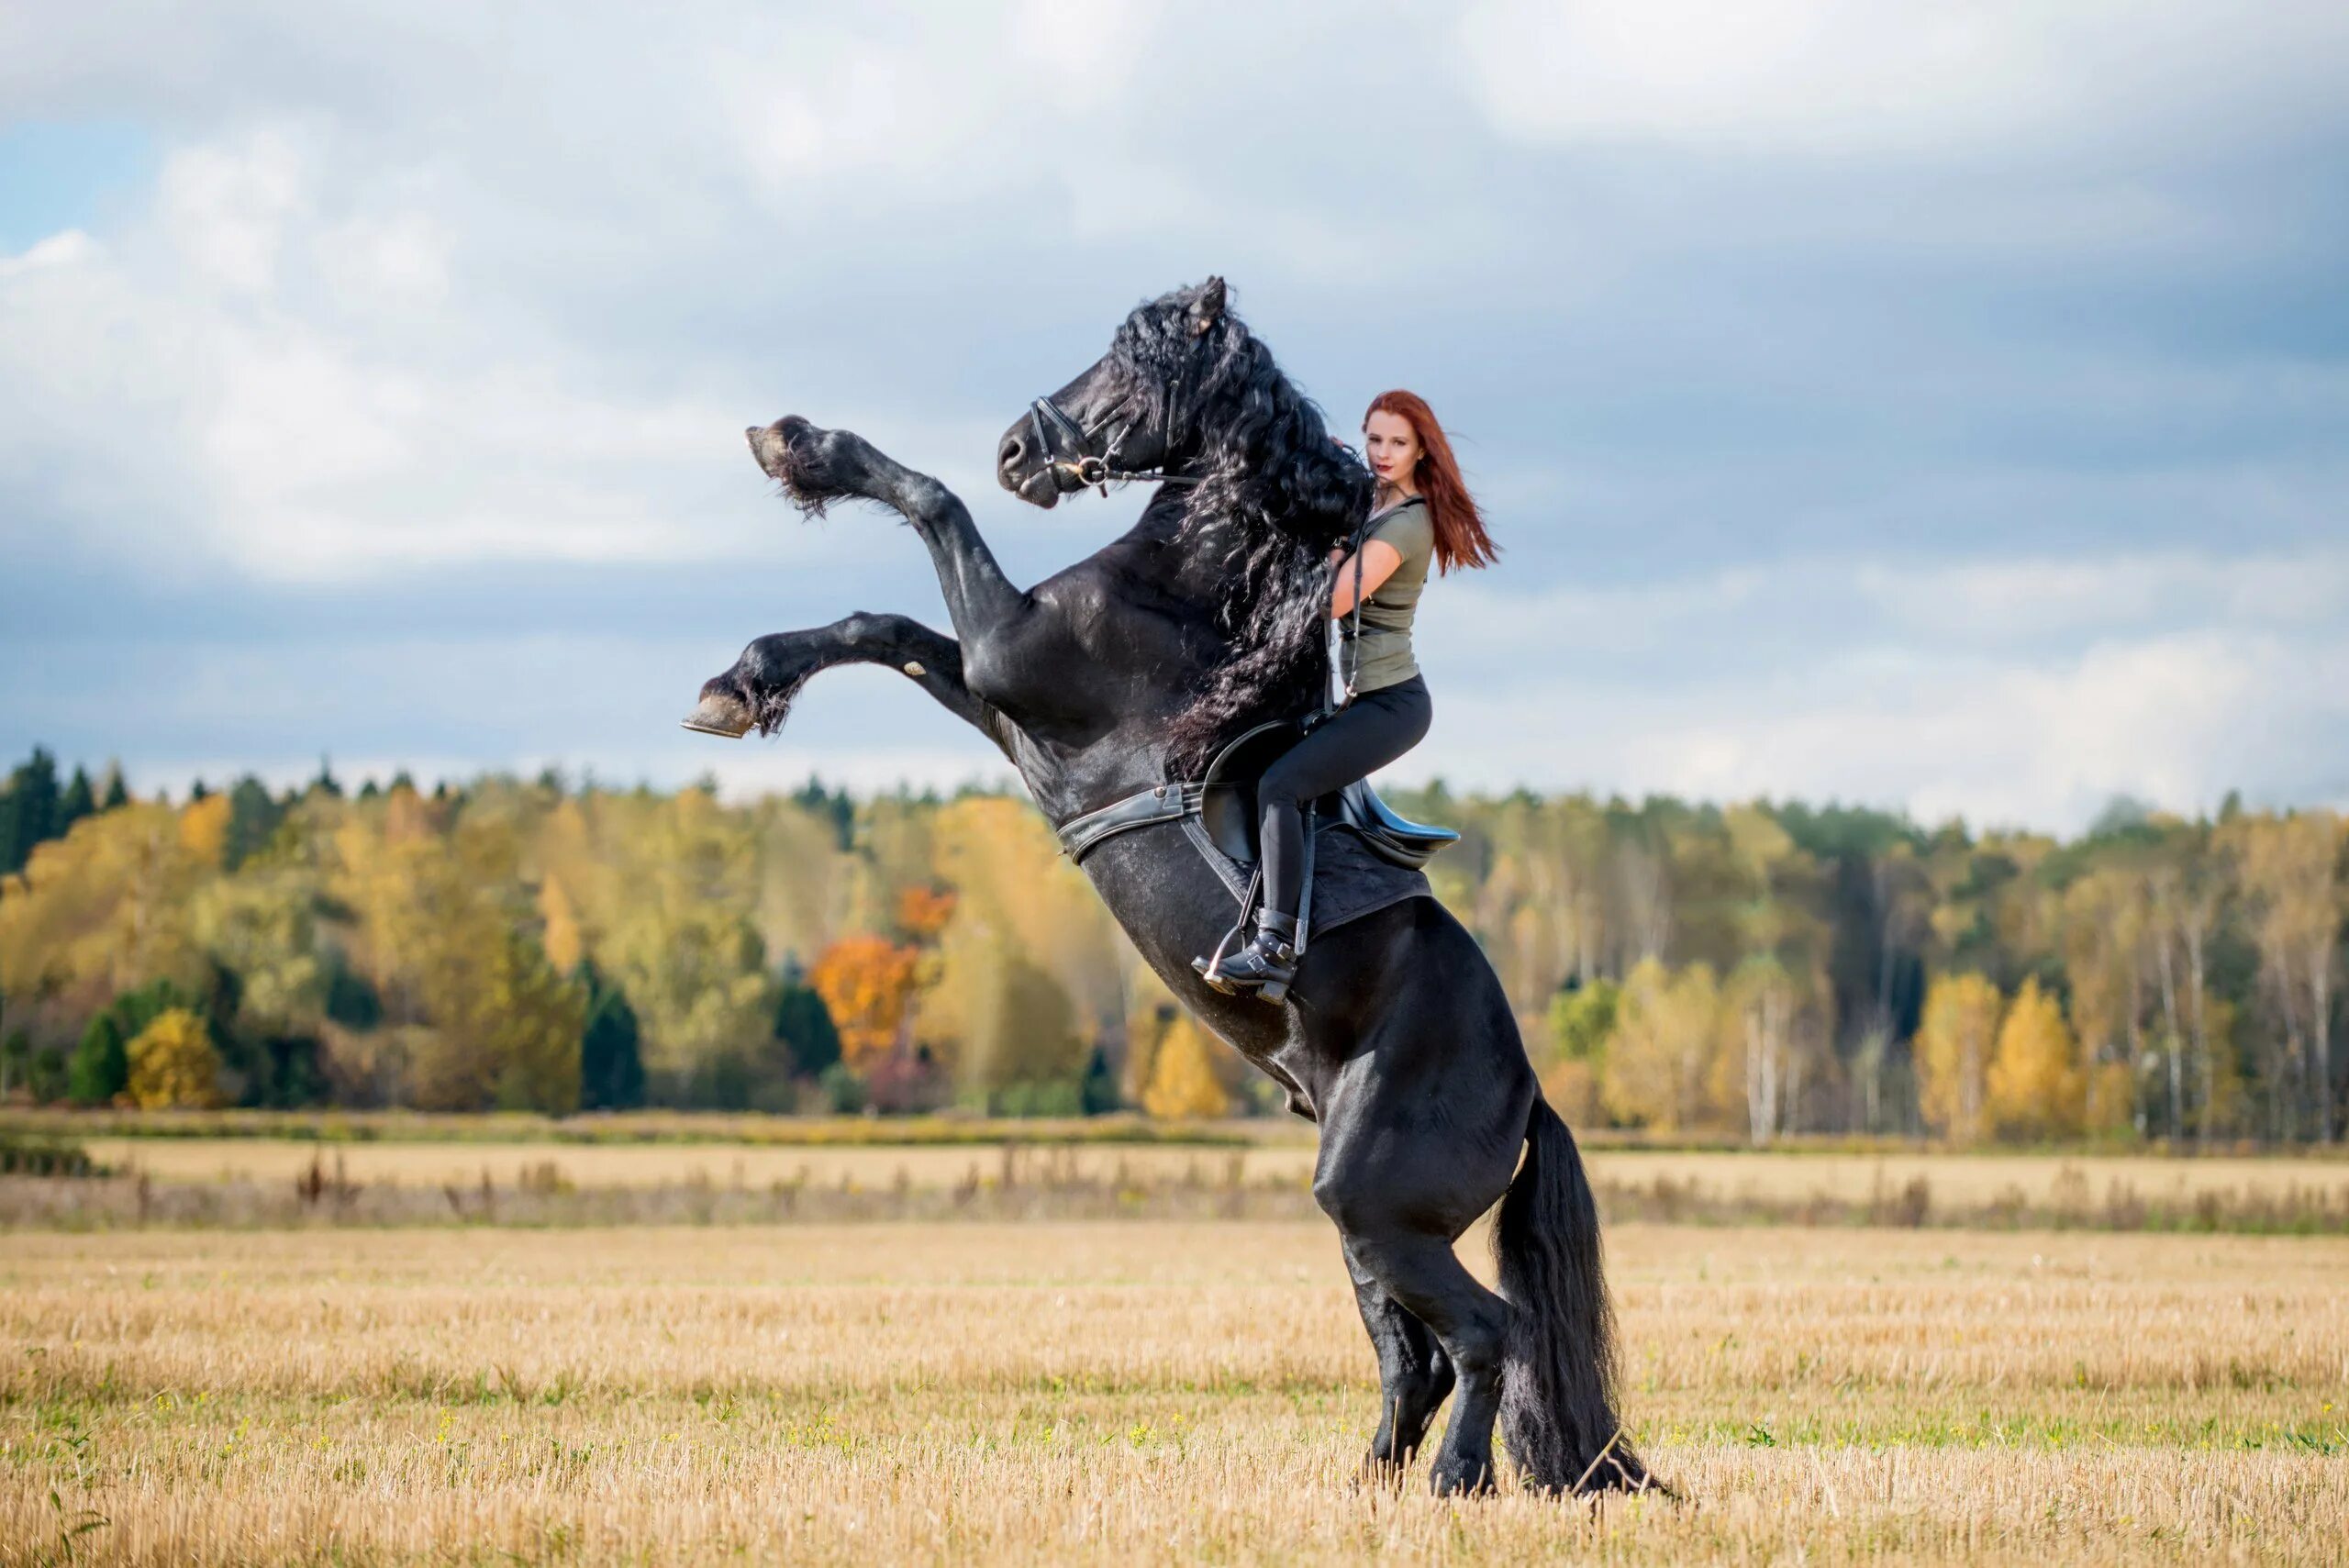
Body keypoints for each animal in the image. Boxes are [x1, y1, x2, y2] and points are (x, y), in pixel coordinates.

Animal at [685, 278, 1653, 1493]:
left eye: (1130, 363)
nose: (1015, 452)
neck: (1189, 590)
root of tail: (1529, 1094)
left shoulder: (1009, 658)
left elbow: (927, 501)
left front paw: (801, 448)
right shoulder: (996, 691)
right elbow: (886, 627)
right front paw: (741, 679)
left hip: (1373, 1204)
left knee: (1483, 1335)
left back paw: (1452, 1482)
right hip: (1361, 1222)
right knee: (1414, 1359)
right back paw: (1367, 1488)